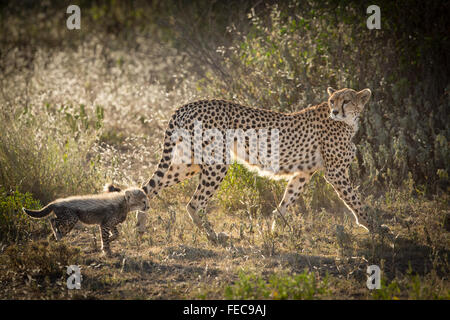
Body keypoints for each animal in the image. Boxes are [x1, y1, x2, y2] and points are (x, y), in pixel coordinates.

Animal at [143, 86, 384, 244]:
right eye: (332, 101)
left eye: (346, 101)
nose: (335, 111)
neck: (347, 122)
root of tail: (189, 104)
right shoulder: (335, 172)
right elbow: (355, 200)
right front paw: (374, 227)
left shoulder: (304, 173)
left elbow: (288, 199)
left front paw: (276, 226)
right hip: (216, 162)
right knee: (194, 203)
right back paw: (214, 236)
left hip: (189, 162)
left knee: (148, 188)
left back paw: (139, 227)